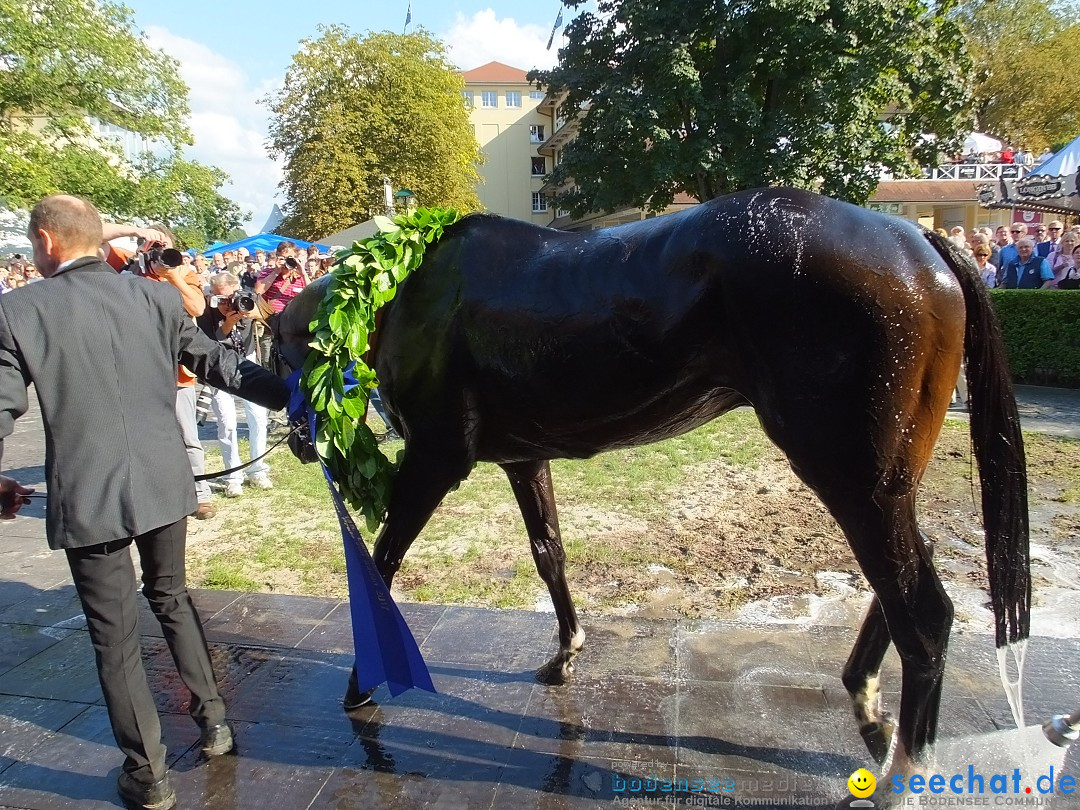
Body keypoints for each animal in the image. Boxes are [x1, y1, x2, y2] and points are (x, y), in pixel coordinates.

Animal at [276, 186, 1028, 781]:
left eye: (280, 350)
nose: (299, 440)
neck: (401, 289)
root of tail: (918, 242)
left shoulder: (433, 458)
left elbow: (381, 562)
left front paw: (360, 683)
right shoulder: (524, 458)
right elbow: (549, 554)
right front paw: (565, 654)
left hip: (850, 471)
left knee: (923, 613)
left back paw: (903, 773)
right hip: (884, 477)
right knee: (898, 582)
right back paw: (862, 691)